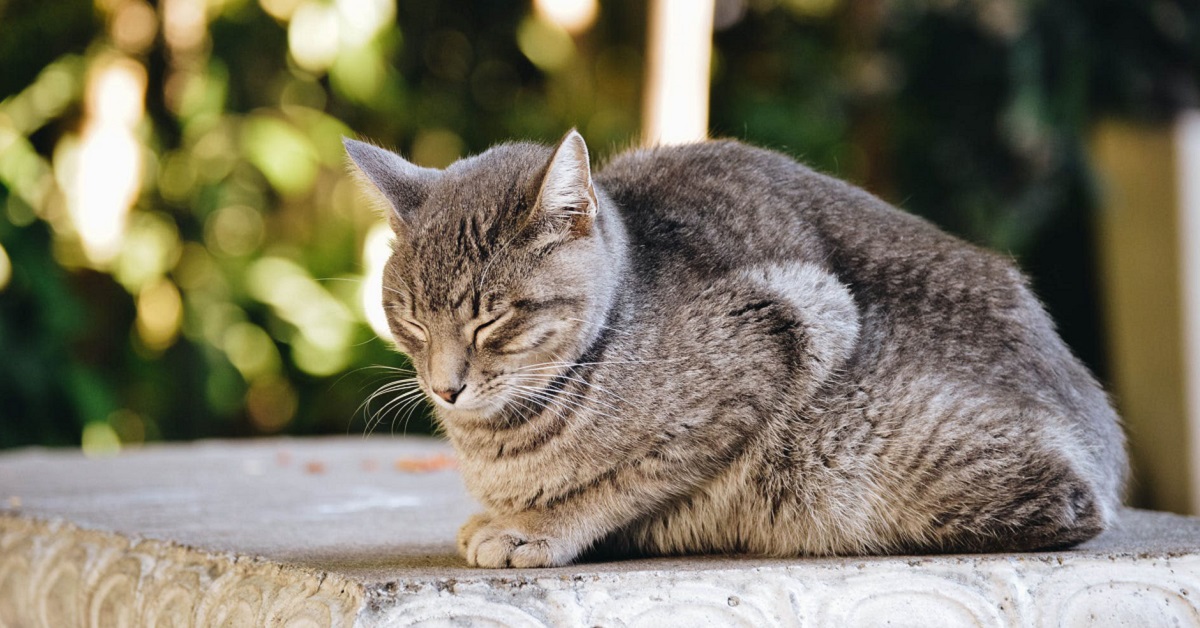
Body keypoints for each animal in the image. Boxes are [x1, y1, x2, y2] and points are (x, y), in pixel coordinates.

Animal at [345, 129, 1123, 569]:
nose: (444, 386)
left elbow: (629, 480)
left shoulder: (788, 331)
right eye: (409, 319)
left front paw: (541, 527)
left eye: (492, 319)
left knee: (1070, 510)